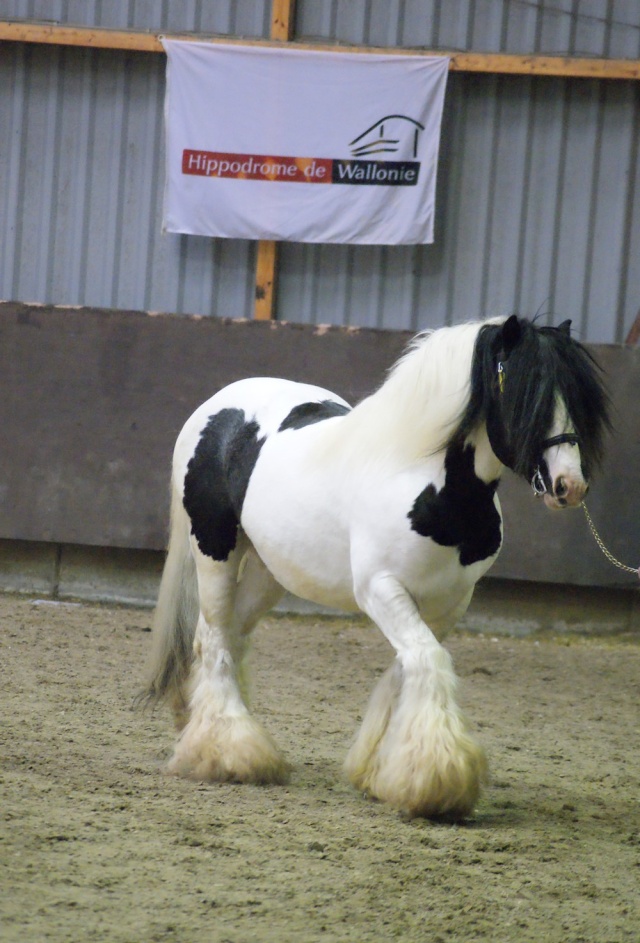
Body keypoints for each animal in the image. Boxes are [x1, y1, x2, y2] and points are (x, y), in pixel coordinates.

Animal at [144, 316, 608, 820]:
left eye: (576, 398)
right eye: (525, 394)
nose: (569, 485)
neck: (423, 479)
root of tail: (215, 406)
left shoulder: (449, 602)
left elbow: (409, 669)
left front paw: (380, 770)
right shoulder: (380, 589)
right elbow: (427, 661)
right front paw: (438, 782)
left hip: (271, 571)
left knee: (231, 636)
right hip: (215, 551)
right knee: (213, 640)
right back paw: (230, 753)